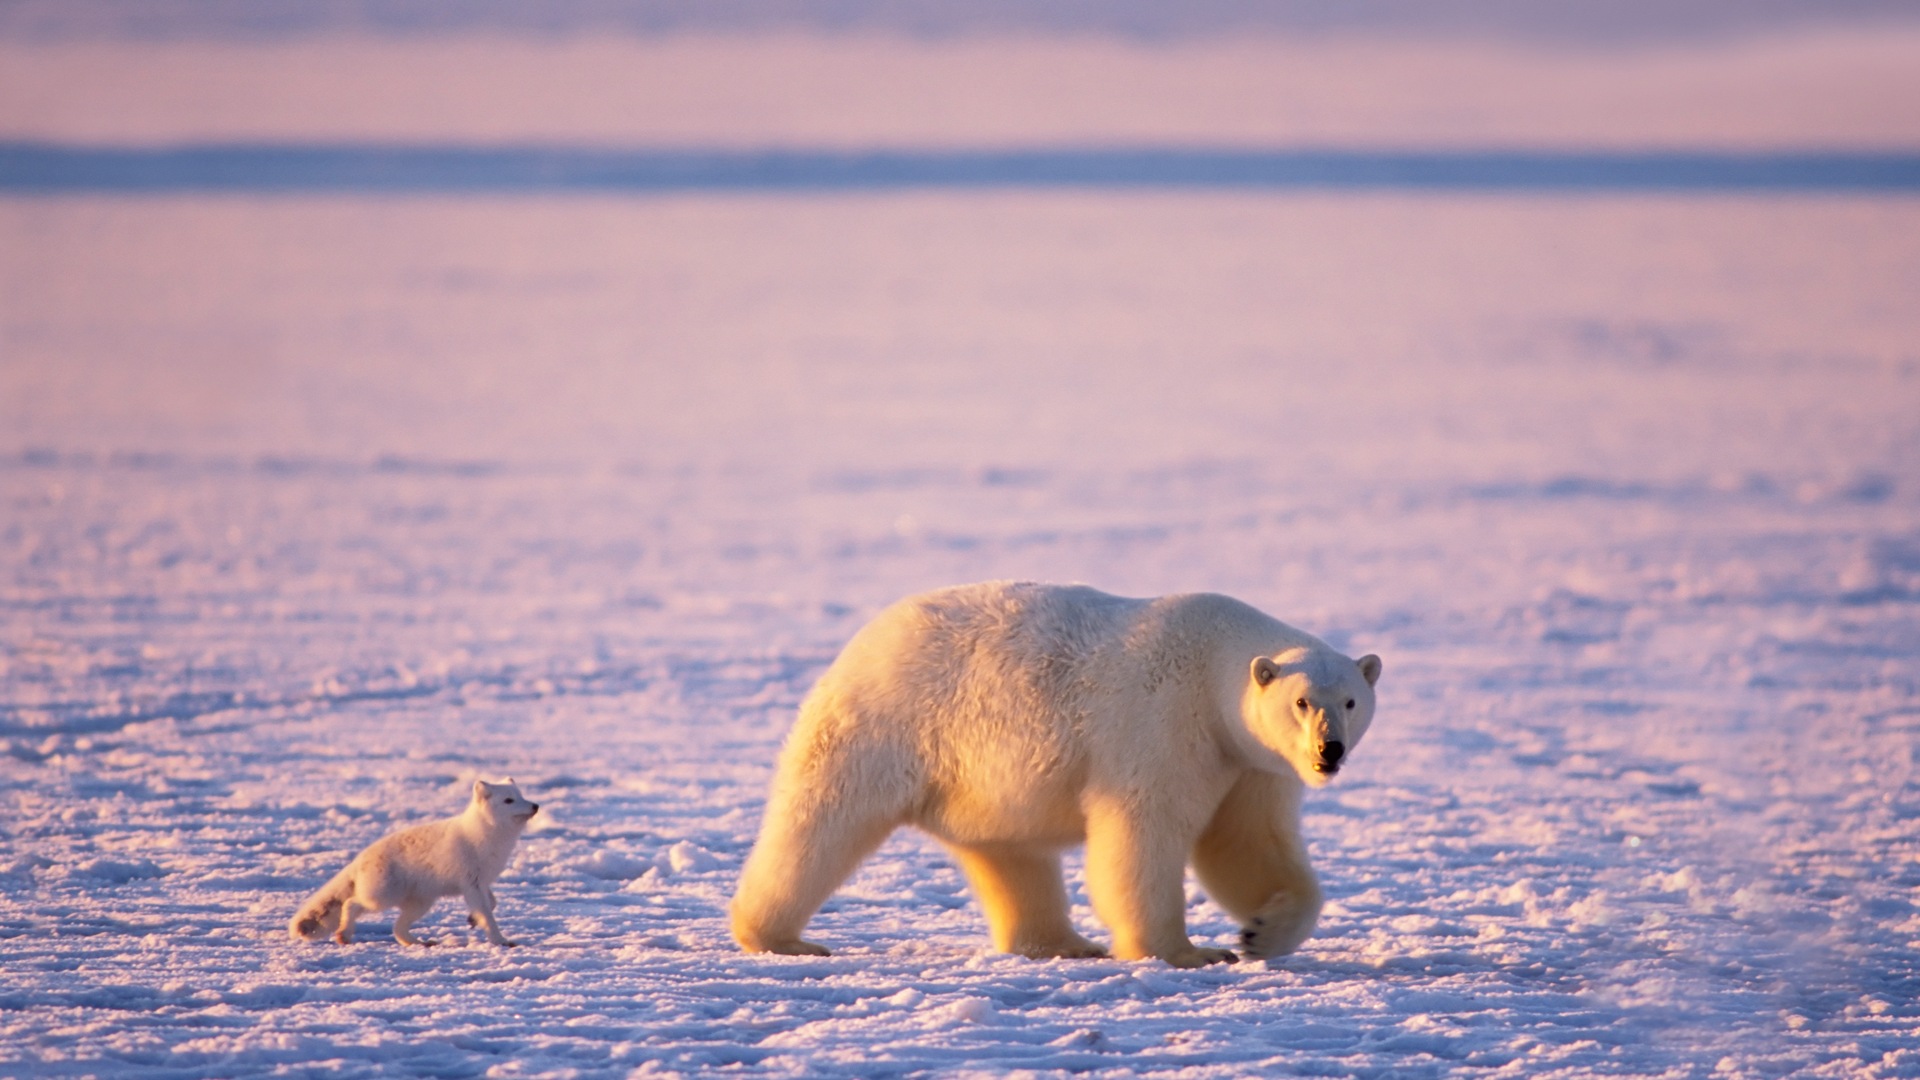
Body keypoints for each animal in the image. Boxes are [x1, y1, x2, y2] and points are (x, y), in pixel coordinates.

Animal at [288, 772, 541, 941]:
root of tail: (360, 858)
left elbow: (492, 903)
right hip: (382, 897)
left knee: (397, 928)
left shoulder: (482, 882)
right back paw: (344, 934)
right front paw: (501, 941)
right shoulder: (471, 883)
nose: (536, 805)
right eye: (508, 800)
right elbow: (487, 914)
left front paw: (472, 919)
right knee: (351, 904)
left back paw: (418, 943)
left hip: (420, 903)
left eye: (522, 795)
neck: (486, 837)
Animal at [729, 580, 1382, 968]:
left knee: (1011, 855)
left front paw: (1260, 931)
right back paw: (780, 937)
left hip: (980, 781)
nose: (1328, 751)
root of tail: (863, 640)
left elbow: (1246, 842)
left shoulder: (1250, 762)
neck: (1213, 661)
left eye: (1351, 700)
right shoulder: (1163, 724)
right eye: (1301, 701)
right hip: (887, 725)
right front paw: (1186, 953)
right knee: (822, 822)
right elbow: (1143, 834)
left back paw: (1063, 943)